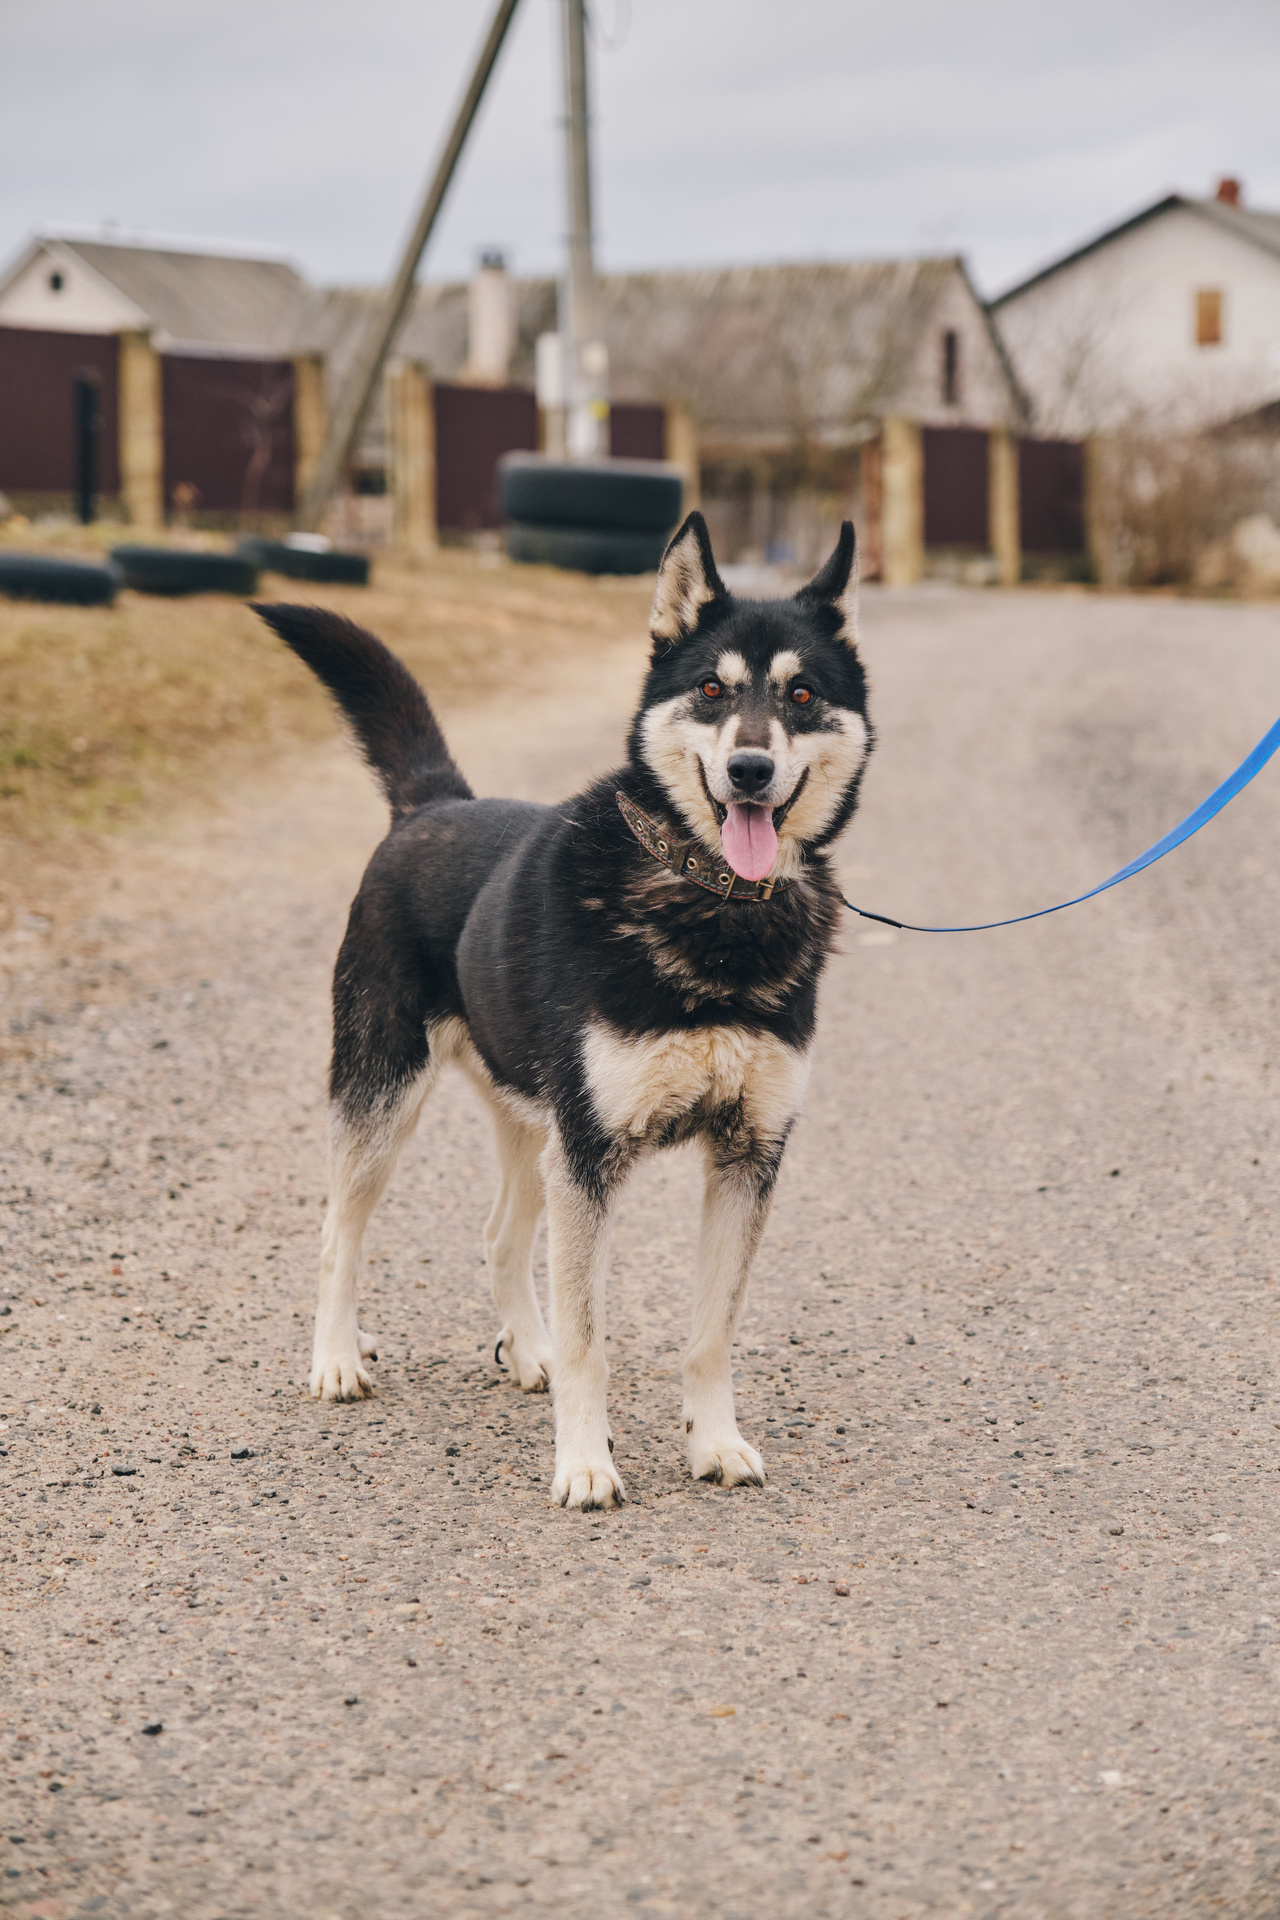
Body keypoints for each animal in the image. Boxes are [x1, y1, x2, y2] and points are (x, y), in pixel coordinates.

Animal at [256, 510, 872, 1510]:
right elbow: (593, 1342)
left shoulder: (747, 1155)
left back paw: (524, 1350)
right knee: (338, 1231)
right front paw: (585, 1461)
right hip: (385, 1093)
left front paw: (715, 1441)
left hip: (528, 1122)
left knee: (501, 1234)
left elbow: (711, 1334)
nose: (749, 770)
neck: (711, 906)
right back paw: (337, 1358)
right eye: (711, 689)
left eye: (804, 693)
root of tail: (430, 804)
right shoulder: (591, 1158)